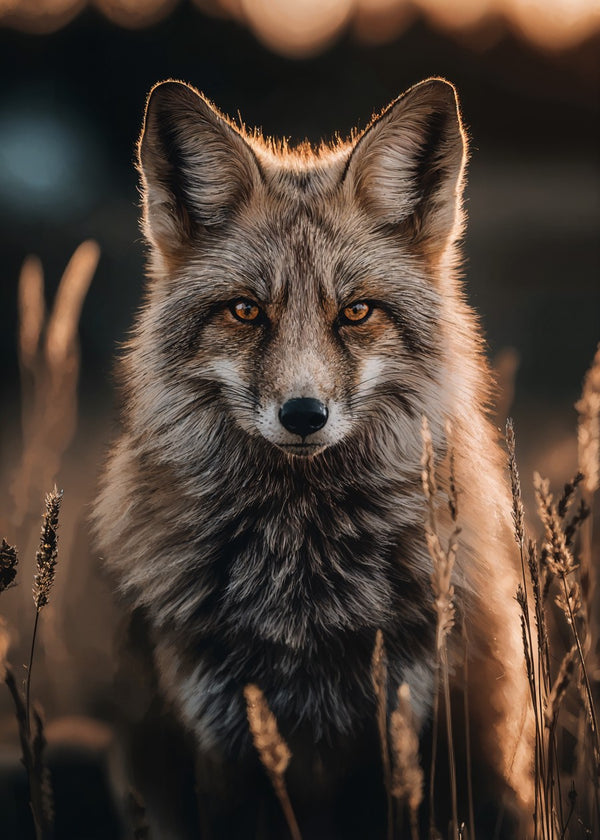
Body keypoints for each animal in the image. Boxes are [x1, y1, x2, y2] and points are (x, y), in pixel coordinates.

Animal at [95, 77, 534, 838]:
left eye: (356, 312)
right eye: (246, 312)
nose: (303, 415)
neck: (303, 588)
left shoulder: (402, 728)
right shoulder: (225, 740)